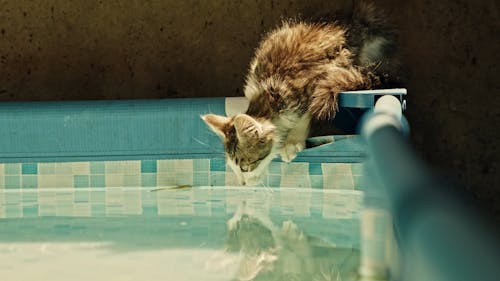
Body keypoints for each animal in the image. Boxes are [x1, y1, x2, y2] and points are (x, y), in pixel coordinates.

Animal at [201, 2, 400, 186]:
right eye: (233, 168)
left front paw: (292, 142)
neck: (269, 95)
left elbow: (307, 112)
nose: (242, 184)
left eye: (244, 168)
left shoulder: (320, 77)